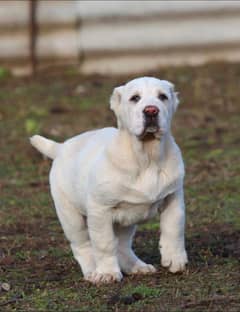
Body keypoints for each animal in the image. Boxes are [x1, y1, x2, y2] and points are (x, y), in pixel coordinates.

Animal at [30, 77, 188, 284]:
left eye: (162, 97)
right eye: (134, 98)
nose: (151, 110)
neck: (147, 157)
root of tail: (62, 147)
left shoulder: (173, 198)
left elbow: (174, 228)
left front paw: (175, 259)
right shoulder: (100, 210)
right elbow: (104, 244)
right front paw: (107, 273)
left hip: (127, 219)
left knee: (122, 244)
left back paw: (136, 266)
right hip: (70, 216)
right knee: (82, 244)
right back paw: (92, 270)